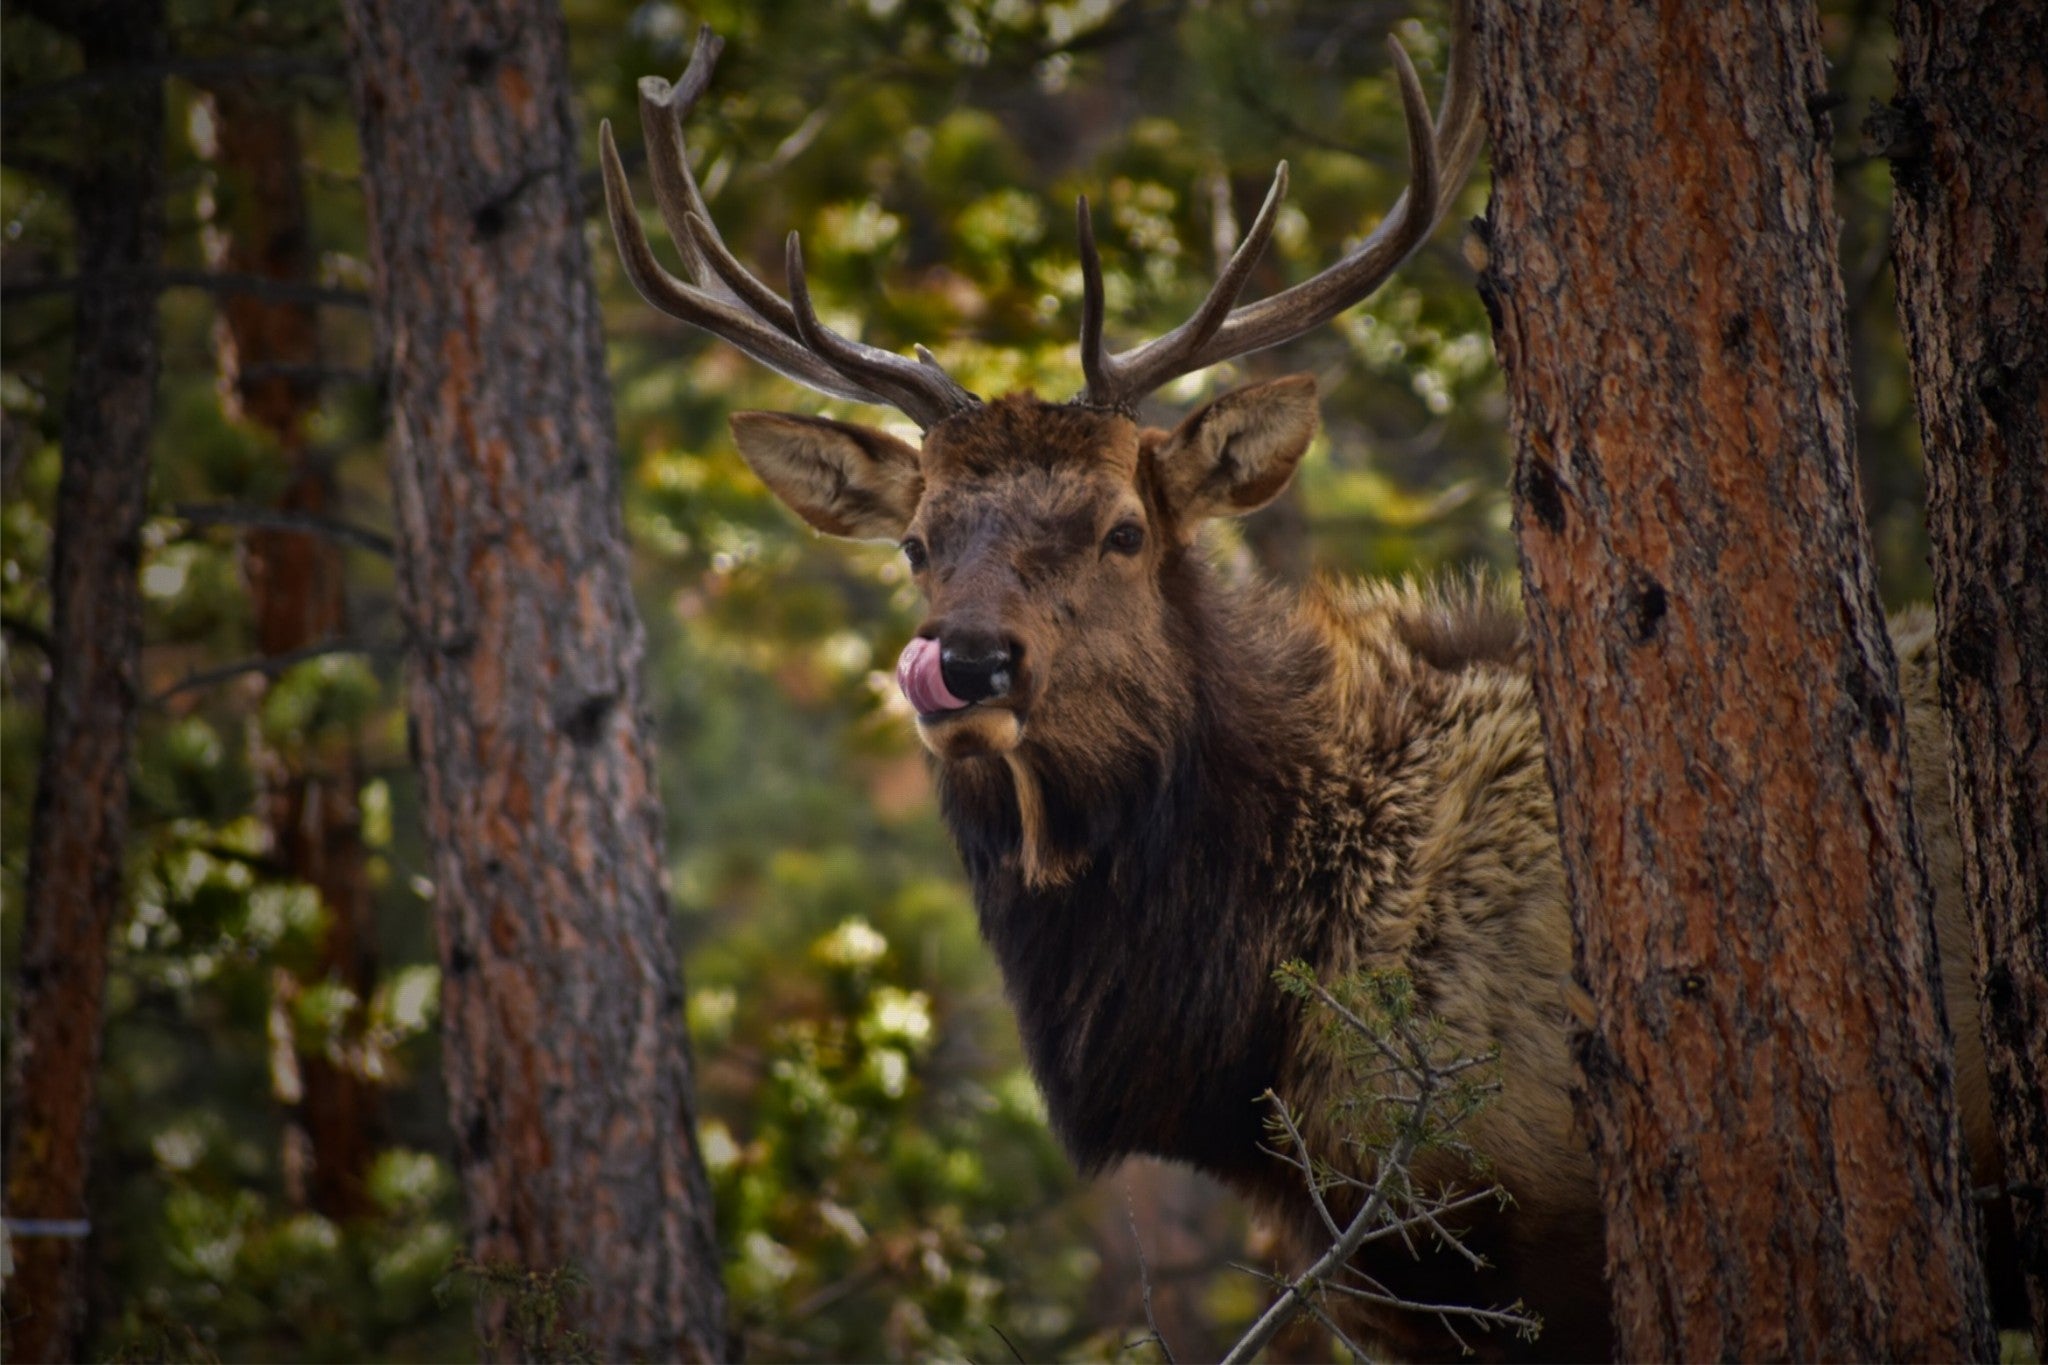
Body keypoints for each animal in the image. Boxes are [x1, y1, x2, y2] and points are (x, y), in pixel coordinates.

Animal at [598, 14, 2007, 1362]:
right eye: (913, 539)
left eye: (1122, 527)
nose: (964, 659)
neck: (1243, 1041)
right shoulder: (1386, 1281)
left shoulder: (1532, 1215)